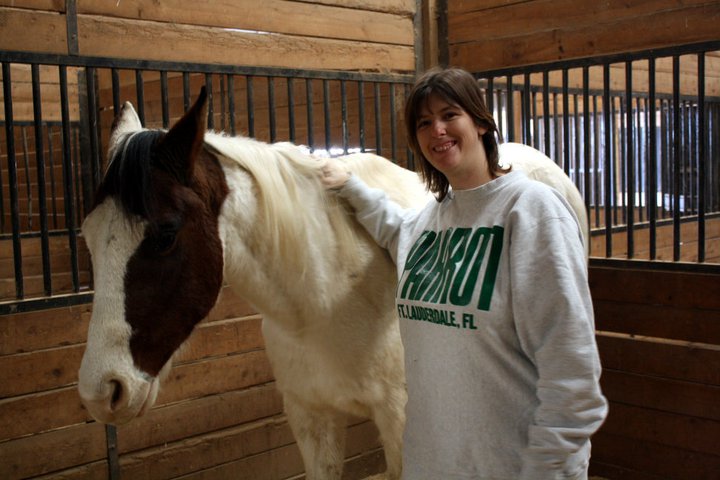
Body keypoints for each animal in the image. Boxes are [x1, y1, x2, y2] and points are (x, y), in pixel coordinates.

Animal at [77, 87, 589, 480]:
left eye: (165, 233)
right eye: (87, 235)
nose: (102, 390)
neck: (323, 300)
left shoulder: (400, 420)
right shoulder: (310, 417)